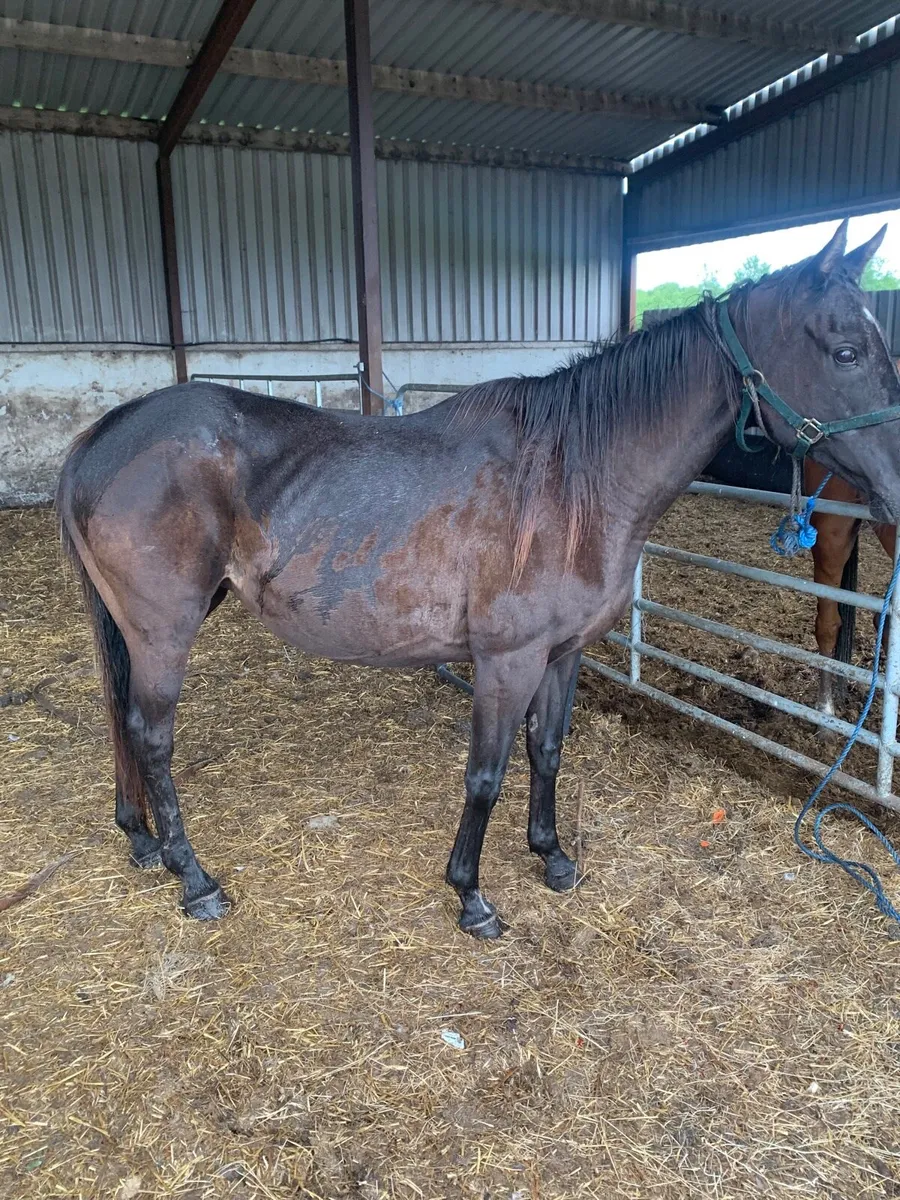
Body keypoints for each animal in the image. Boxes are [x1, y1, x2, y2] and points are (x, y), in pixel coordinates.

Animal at [56, 219, 900, 938]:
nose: (896, 487)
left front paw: (553, 856)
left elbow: (547, 750)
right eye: (847, 351)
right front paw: (471, 895)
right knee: (150, 736)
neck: (573, 479)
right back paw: (193, 878)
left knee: (120, 722)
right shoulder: (506, 661)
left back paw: (141, 841)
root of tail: (102, 437)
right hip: (164, 633)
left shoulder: (563, 654)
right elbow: (486, 774)